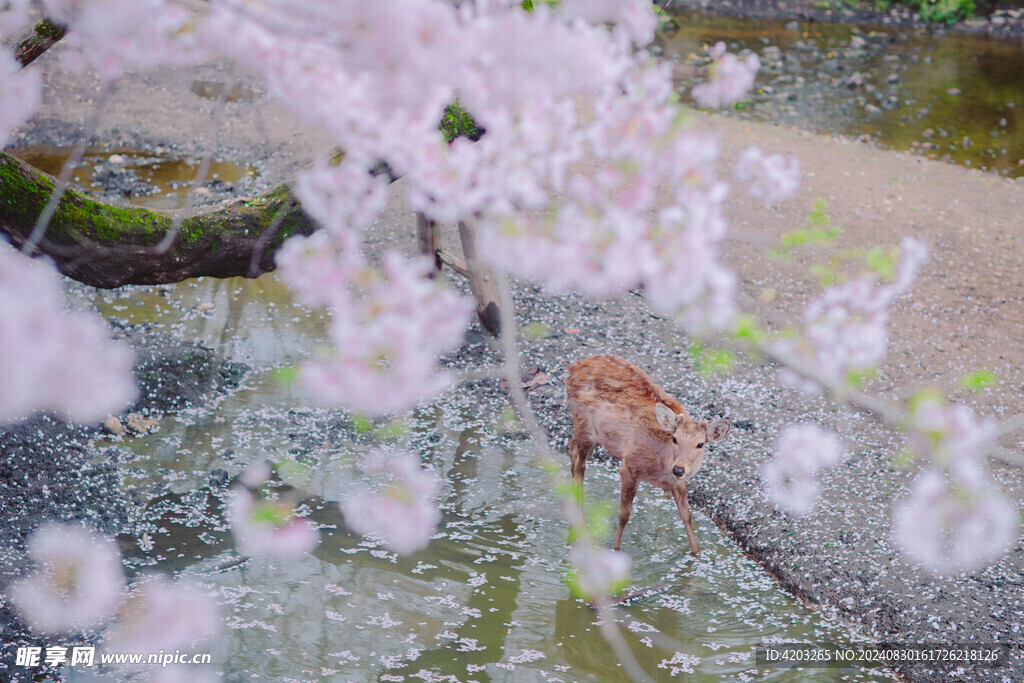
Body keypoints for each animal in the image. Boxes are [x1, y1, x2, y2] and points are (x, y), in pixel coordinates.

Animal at [565, 356, 733, 552]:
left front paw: (696, 552)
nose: (678, 469)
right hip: (583, 421)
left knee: (571, 447)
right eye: (674, 438)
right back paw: (580, 521)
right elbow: (624, 516)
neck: (661, 467)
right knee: (580, 464)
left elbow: (686, 516)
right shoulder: (630, 467)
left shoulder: (679, 483)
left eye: (700, 444)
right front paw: (616, 549)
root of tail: (574, 367)